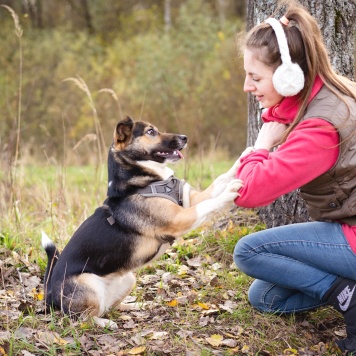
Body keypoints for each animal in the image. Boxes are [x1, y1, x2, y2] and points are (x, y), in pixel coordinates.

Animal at [41, 118, 242, 330]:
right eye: (151, 132)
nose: (184, 138)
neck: (145, 181)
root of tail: (49, 293)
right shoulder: (180, 218)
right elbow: (208, 203)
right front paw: (229, 193)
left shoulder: (191, 200)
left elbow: (219, 180)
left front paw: (246, 155)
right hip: (89, 285)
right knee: (82, 317)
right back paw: (104, 322)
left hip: (128, 278)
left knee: (110, 306)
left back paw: (135, 305)